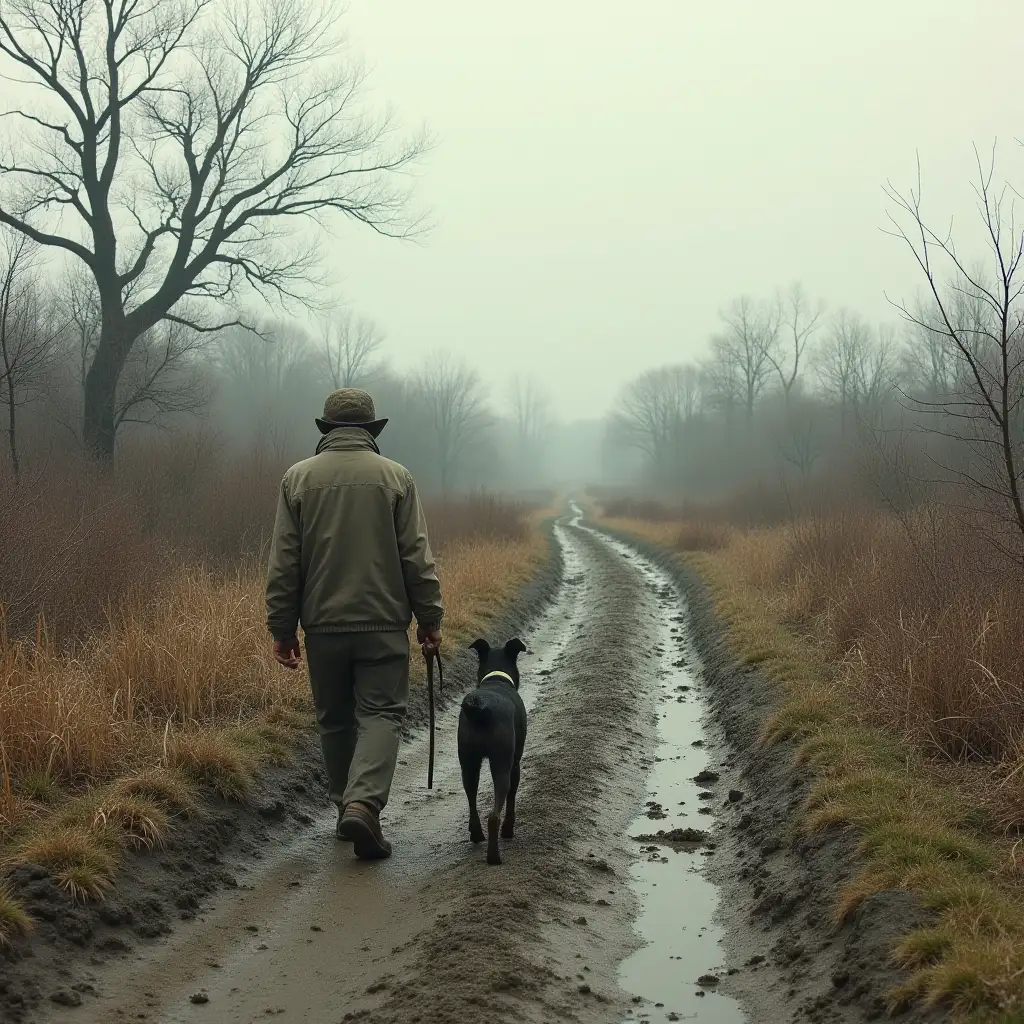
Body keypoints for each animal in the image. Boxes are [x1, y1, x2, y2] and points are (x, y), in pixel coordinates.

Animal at [462, 638, 532, 864]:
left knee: (471, 798)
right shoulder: (515, 764)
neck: (496, 678)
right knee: (494, 814)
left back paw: (476, 834)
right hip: (501, 764)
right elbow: (512, 798)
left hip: (468, 762)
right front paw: (509, 830)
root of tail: (482, 707)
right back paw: (494, 855)